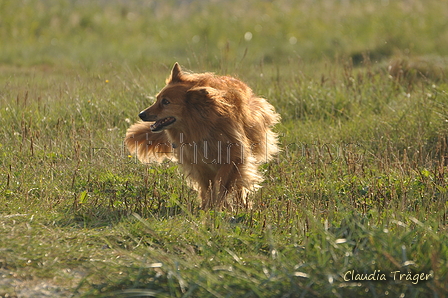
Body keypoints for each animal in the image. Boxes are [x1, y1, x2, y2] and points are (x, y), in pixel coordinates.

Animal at [125, 62, 280, 210]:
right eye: (157, 99)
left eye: (166, 102)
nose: (141, 114)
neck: (200, 125)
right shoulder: (199, 165)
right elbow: (208, 188)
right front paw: (209, 207)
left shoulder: (233, 158)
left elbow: (223, 184)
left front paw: (220, 206)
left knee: (239, 187)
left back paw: (243, 205)